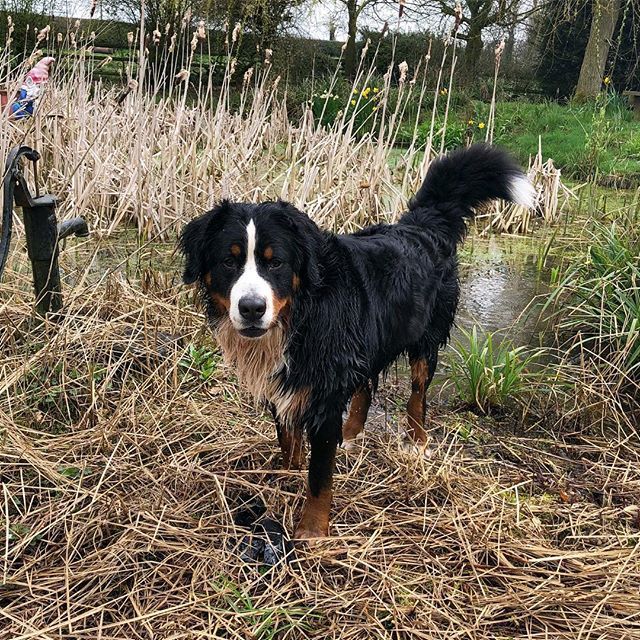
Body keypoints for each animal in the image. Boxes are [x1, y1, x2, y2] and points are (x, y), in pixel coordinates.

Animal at [180, 144, 536, 540]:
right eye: (229, 261)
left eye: (276, 263)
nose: (252, 308)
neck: (301, 315)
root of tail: (420, 224)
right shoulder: (287, 385)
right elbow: (288, 440)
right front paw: (286, 475)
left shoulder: (324, 396)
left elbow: (320, 474)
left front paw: (312, 530)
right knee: (366, 385)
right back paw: (351, 435)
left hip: (424, 342)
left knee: (417, 395)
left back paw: (417, 442)